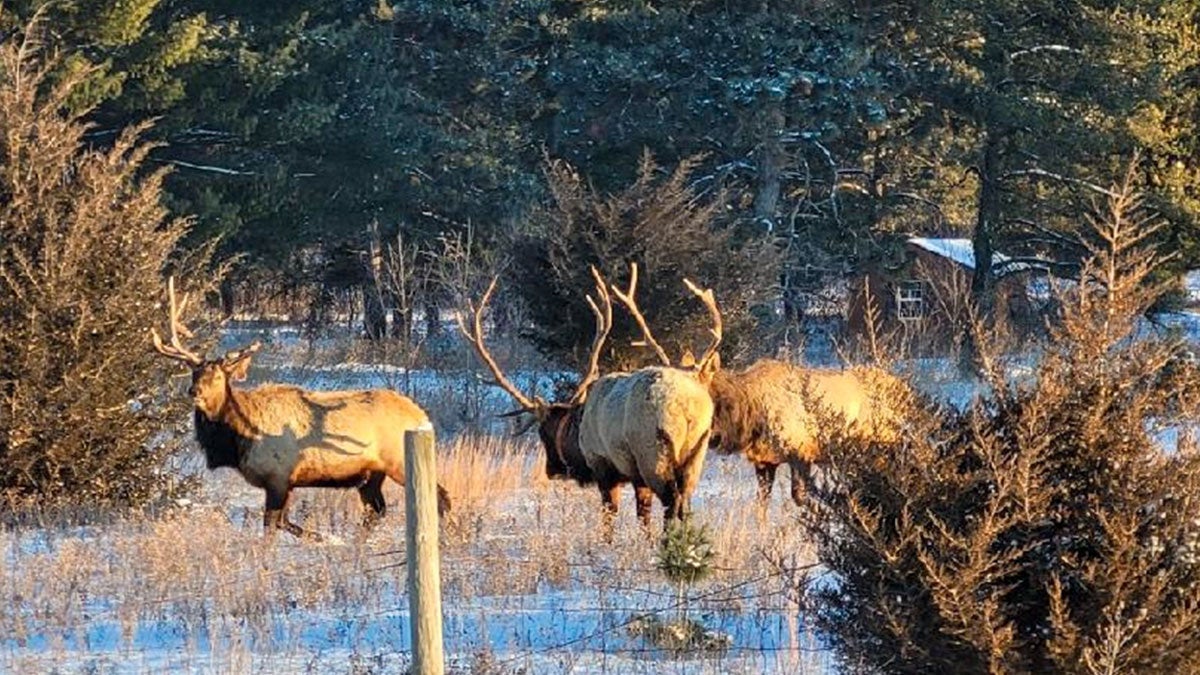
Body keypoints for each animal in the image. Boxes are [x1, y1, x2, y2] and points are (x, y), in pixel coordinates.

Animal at [150, 276, 451, 538]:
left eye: (217, 376)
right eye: (193, 373)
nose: (194, 392)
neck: (236, 441)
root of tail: (421, 415)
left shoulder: (278, 477)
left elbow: (272, 527)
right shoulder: (287, 482)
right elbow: (285, 524)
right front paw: (324, 539)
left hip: (398, 461)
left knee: (440, 497)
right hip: (371, 475)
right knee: (376, 512)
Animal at [460, 265, 715, 528]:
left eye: (543, 433)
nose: (551, 469)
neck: (578, 430)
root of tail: (689, 408)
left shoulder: (603, 465)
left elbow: (610, 516)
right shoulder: (636, 478)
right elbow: (643, 519)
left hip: (653, 452)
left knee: (672, 501)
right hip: (697, 452)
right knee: (685, 503)